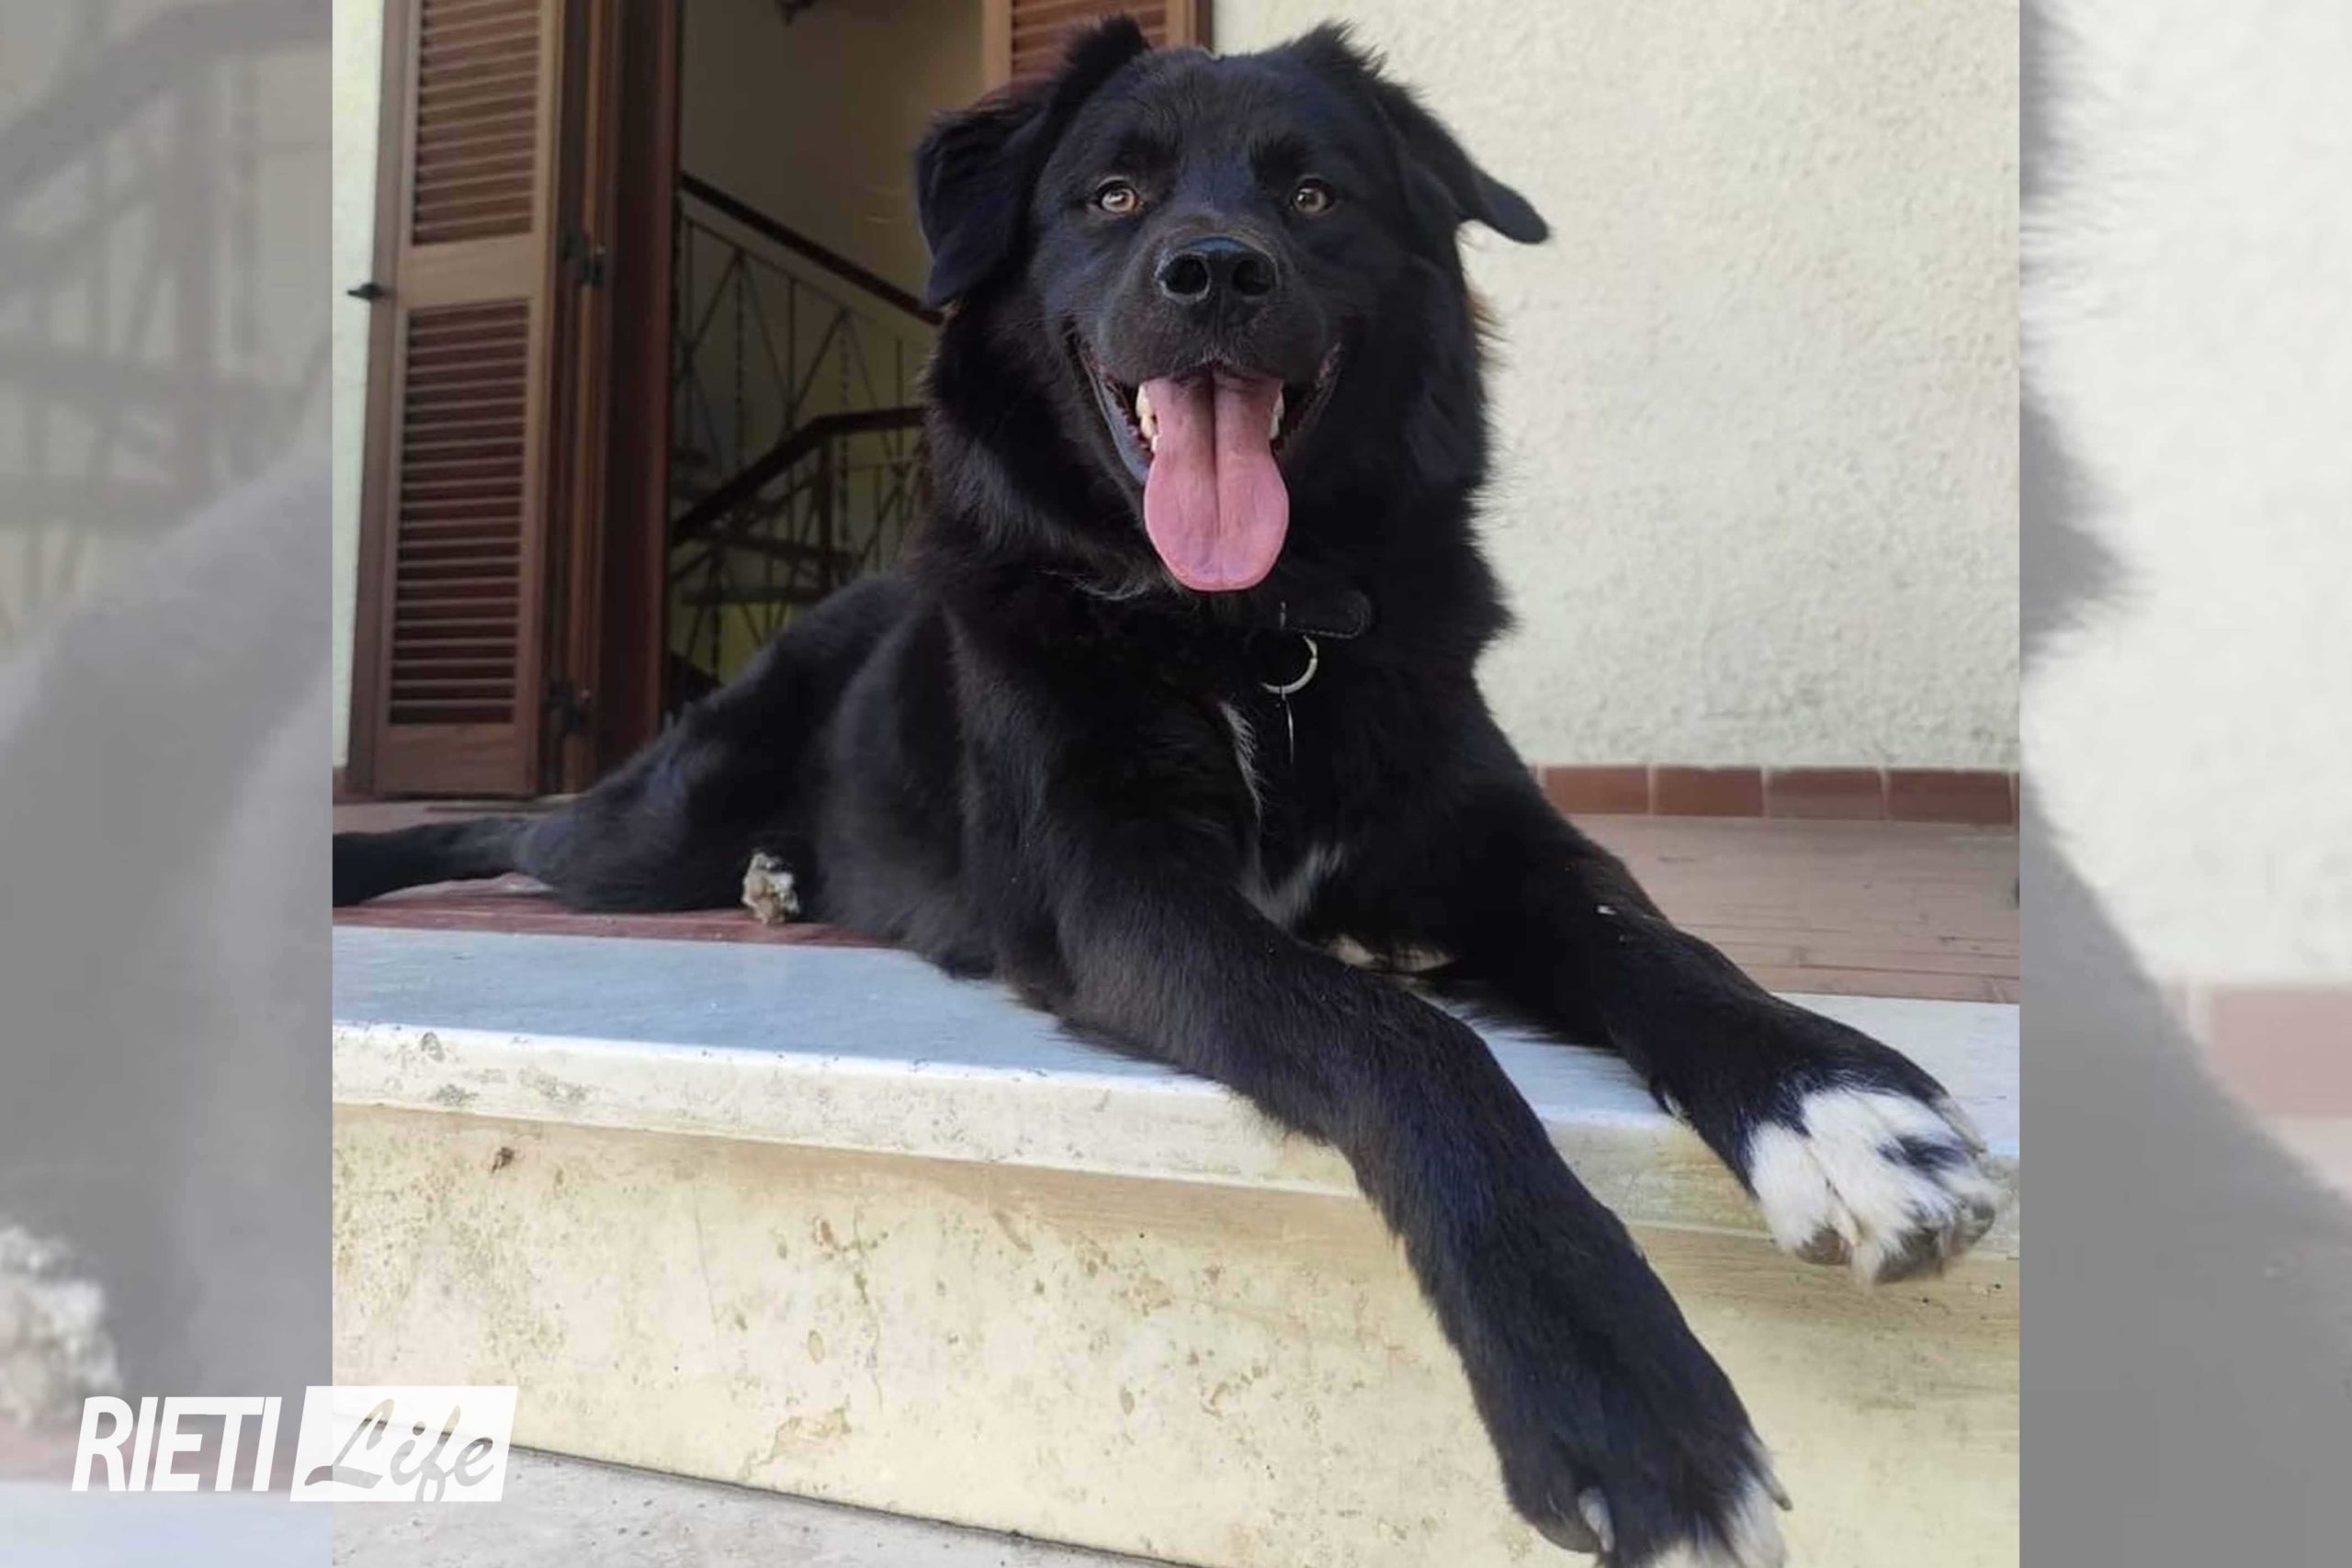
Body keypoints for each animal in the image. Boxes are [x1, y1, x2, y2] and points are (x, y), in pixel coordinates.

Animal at [336, 22, 2001, 1565]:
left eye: (1315, 195)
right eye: (1114, 194)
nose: (1212, 272)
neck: (1250, 633)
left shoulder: (1492, 842)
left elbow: (1653, 943)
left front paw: (1843, 1103)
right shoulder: (1122, 891)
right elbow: (1409, 1039)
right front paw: (1609, 1380)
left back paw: (780, 880)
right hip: (655, 818)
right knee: (527, 833)